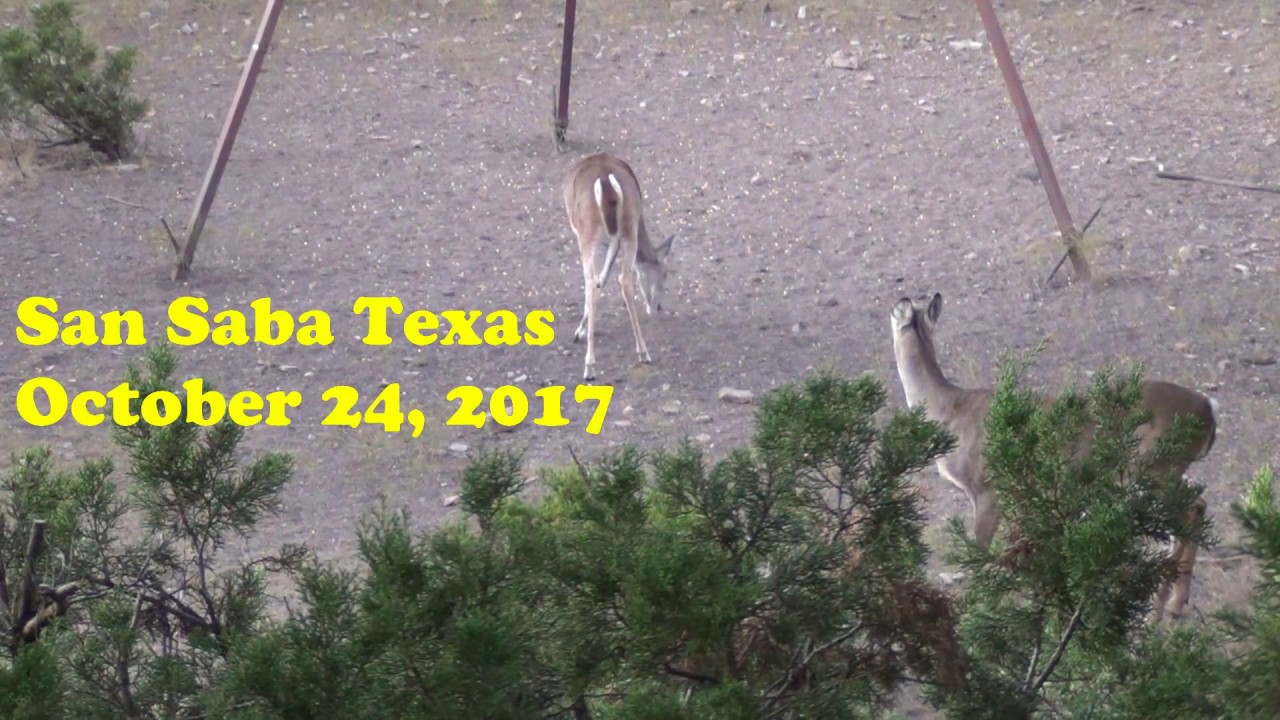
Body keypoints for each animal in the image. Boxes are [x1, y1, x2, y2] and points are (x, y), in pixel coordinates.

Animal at [563, 152, 676, 382]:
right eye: (665, 274)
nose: (659, 306)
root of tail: (606, 182)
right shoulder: (616, 239)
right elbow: (604, 279)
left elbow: (598, 281)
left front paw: (579, 332)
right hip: (628, 226)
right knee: (623, 280)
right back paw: (643, 352)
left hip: (587, 232)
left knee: (591, 282)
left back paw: (589, 367)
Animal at [889, 292, 1219, 624]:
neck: (947, 410)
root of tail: (1208, 412)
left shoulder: (986, 487)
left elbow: (978, 554)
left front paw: (974, 613)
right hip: (1168, 470)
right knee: (1198, 504)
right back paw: (1175, 605)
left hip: (1155, 468)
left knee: (1186, 513)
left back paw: (1157, 612)